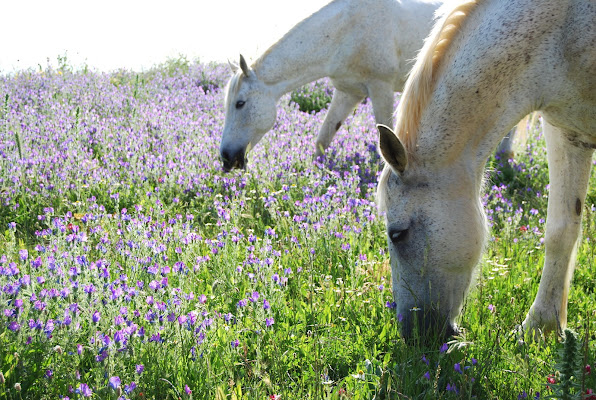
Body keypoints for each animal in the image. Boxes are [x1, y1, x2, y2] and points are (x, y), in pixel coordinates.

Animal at [219, 0, 442, 170]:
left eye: (240, 103)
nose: (226, 158)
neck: (347, 31)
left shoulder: (381, 88)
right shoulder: (348, 92)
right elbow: (322, 140)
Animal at [378, 0, 596, 340]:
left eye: (397, 234)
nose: (413, 335)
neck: (564, 29)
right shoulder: (567, 131)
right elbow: (561, 231)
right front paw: (540, 327)